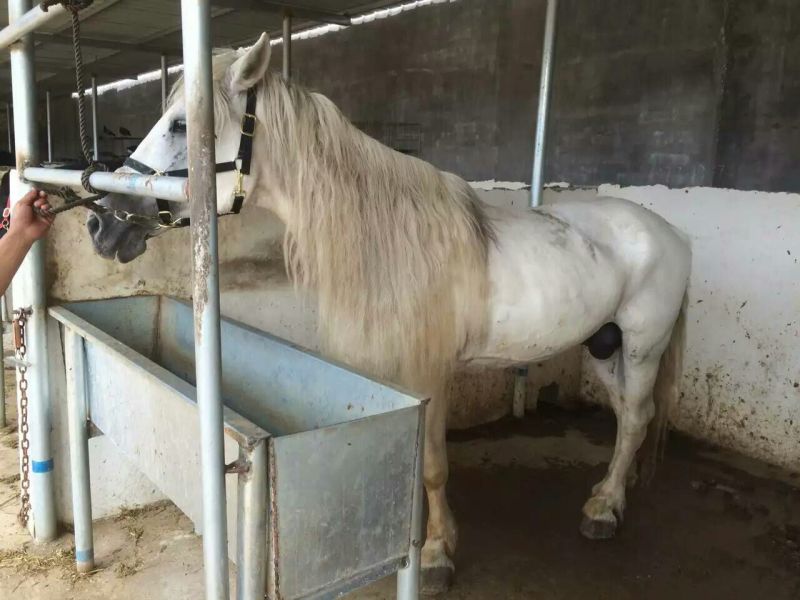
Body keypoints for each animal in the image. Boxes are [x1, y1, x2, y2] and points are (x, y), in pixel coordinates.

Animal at [85, 33, 691, 593]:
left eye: (182, 126)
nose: (100, 223)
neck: (389, 238)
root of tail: (670, 231)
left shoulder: (429, 373)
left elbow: (433, 465)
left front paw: (437, 556)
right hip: (603, 346)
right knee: (627, 416)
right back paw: (611, 493)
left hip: (643, 345)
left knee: (637, 416)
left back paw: (604, 510)